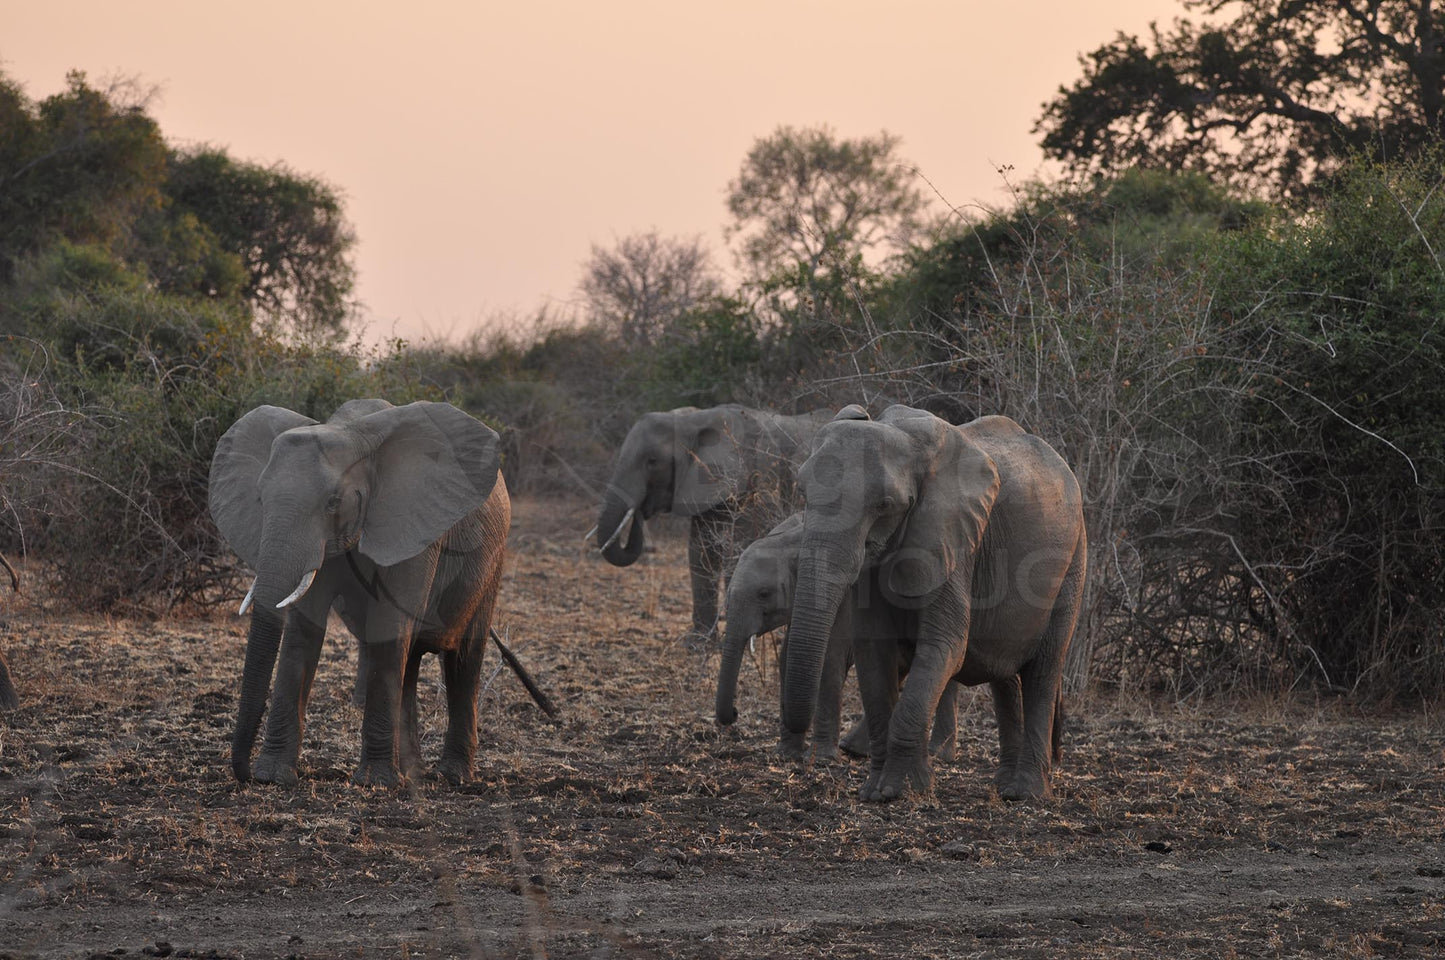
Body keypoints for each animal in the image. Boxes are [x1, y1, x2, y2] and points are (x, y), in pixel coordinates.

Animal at [208, 396, 508, 786]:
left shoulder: (411, 526)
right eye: (260, 499)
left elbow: (389, 626)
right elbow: (302, 633)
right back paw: (413, 771)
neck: (349, 432)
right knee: (410, 662)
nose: (244, 774)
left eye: (333, 502)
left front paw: (374, 782)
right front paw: (273, 775)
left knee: (463, 661)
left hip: (492, 562)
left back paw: (451, 775)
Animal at [592, 401, 832, 647]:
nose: (641, 509)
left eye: (652, 461)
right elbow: (701, 550)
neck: (696, 419)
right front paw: (698, 644)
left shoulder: (761, 476)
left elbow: (742, 545)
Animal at [710, 514, 959, 763]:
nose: (735, 712)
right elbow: (788, 657)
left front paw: (821, 759)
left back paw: (937, 754)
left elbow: (829, 658)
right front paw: (787, 755)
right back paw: (855, 748)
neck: (792, 541)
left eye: (763, 594)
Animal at [780, 404, 1086, 803]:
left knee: (1043, 670)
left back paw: (1026, 794)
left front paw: (900, 790)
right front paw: (874, 791)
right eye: (803, 492)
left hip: (1073, 559)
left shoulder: (952, 542)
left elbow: (945, 647)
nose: (799, 757)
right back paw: (1003, 786)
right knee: (1004, 676)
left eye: (885, 505)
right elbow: (873, 654)